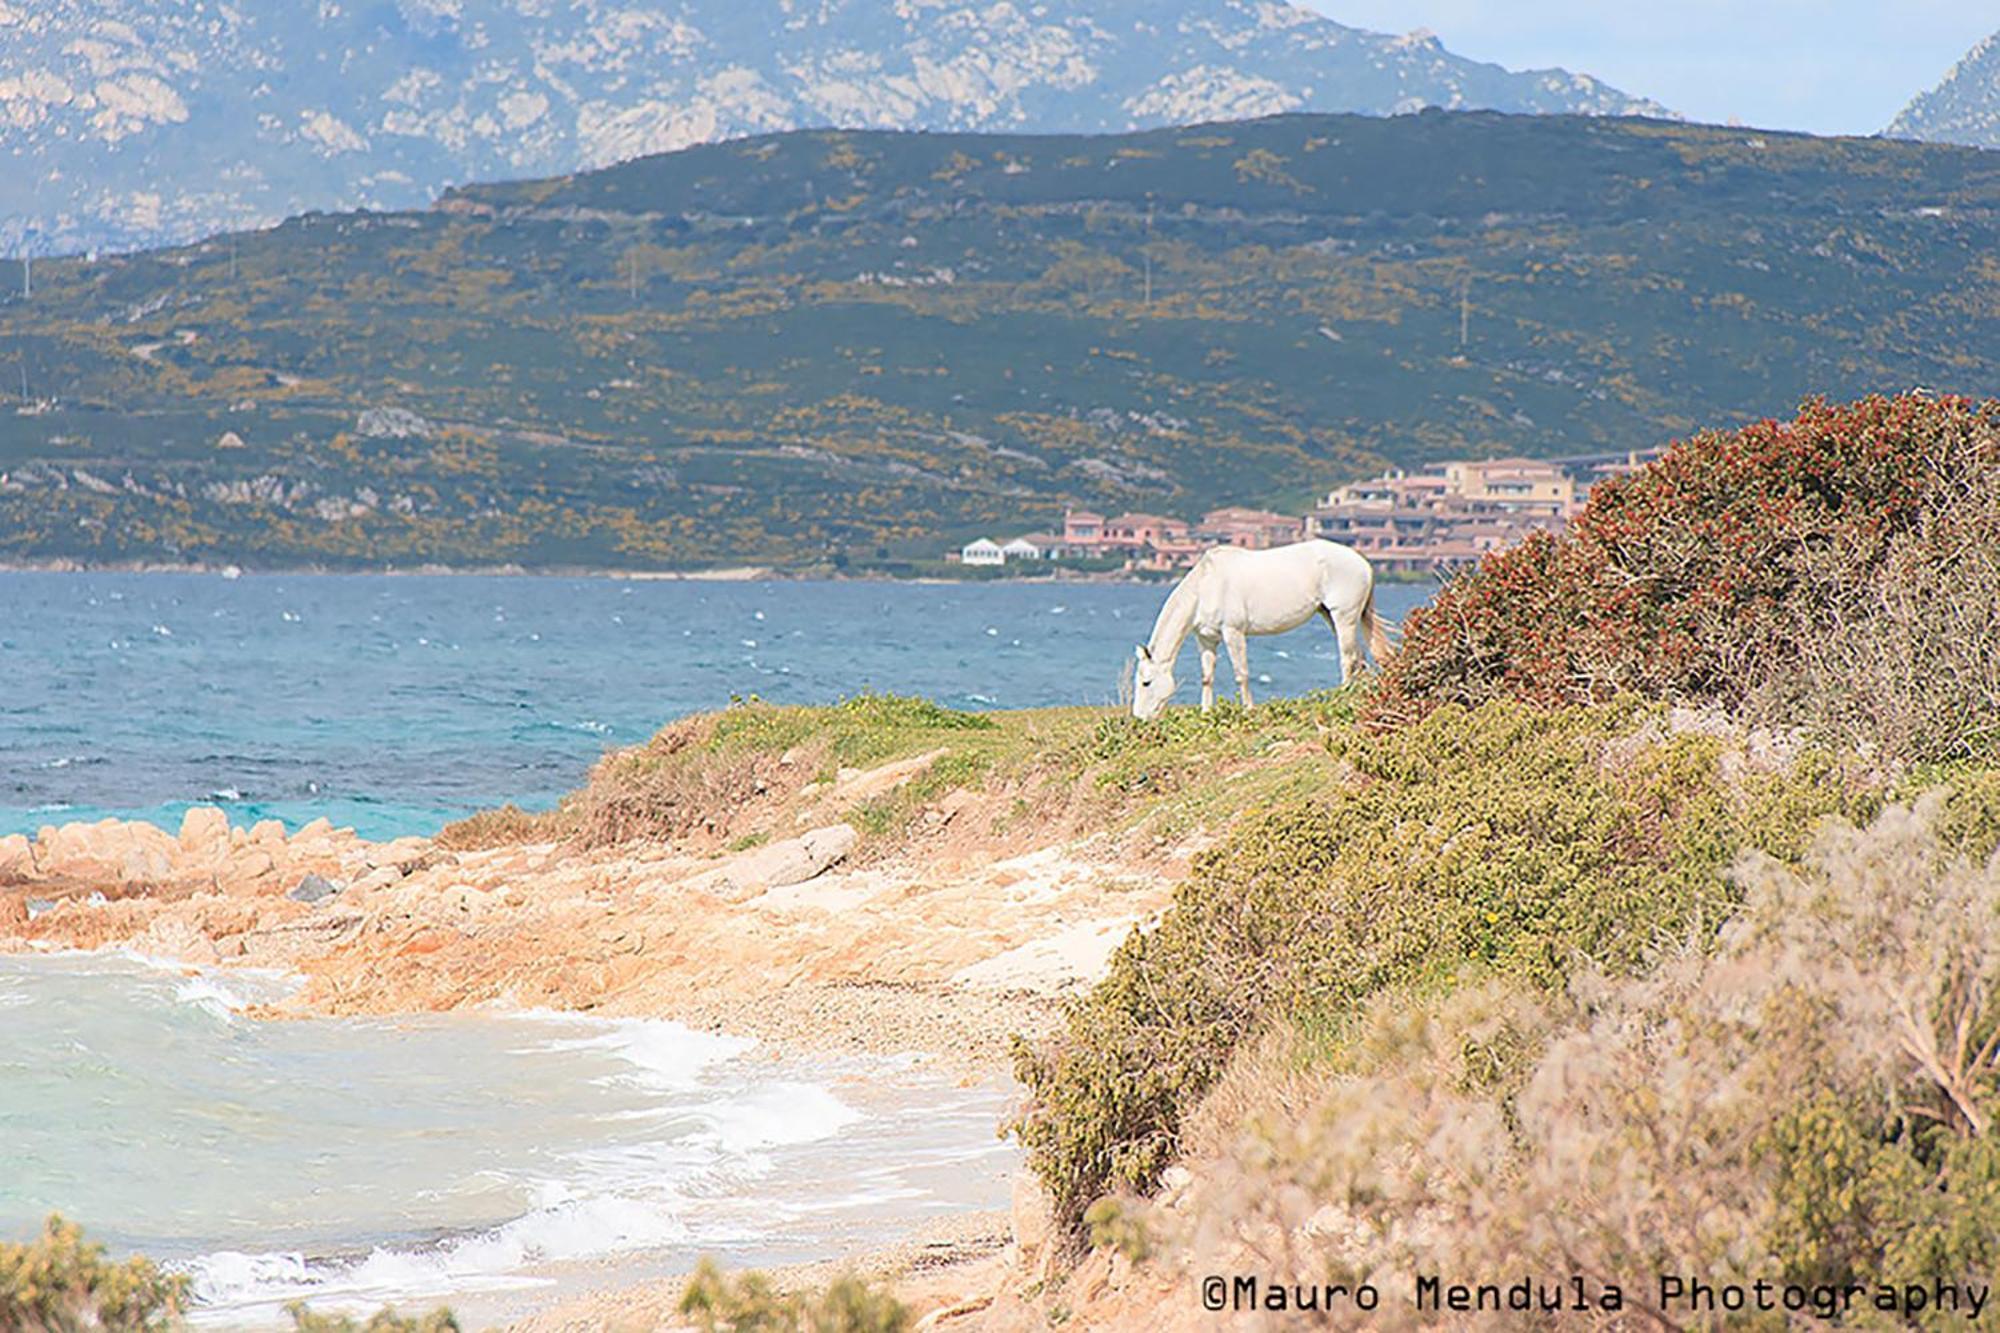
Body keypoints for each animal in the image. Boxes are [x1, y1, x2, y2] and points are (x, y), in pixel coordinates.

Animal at [1128, 536, 1392, 716]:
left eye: (1146, 682)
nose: (1140, 718)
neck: (1206, 586)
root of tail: (1363, 562)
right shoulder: (1206, 639)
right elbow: (1207, 677)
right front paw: (1206, 712)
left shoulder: (1233, 632)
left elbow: (1241, 674)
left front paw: (1248, 709)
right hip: (1330, 615)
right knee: (1358, 657)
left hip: (1343, 616)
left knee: (1348, 658)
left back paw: (1343, 696)